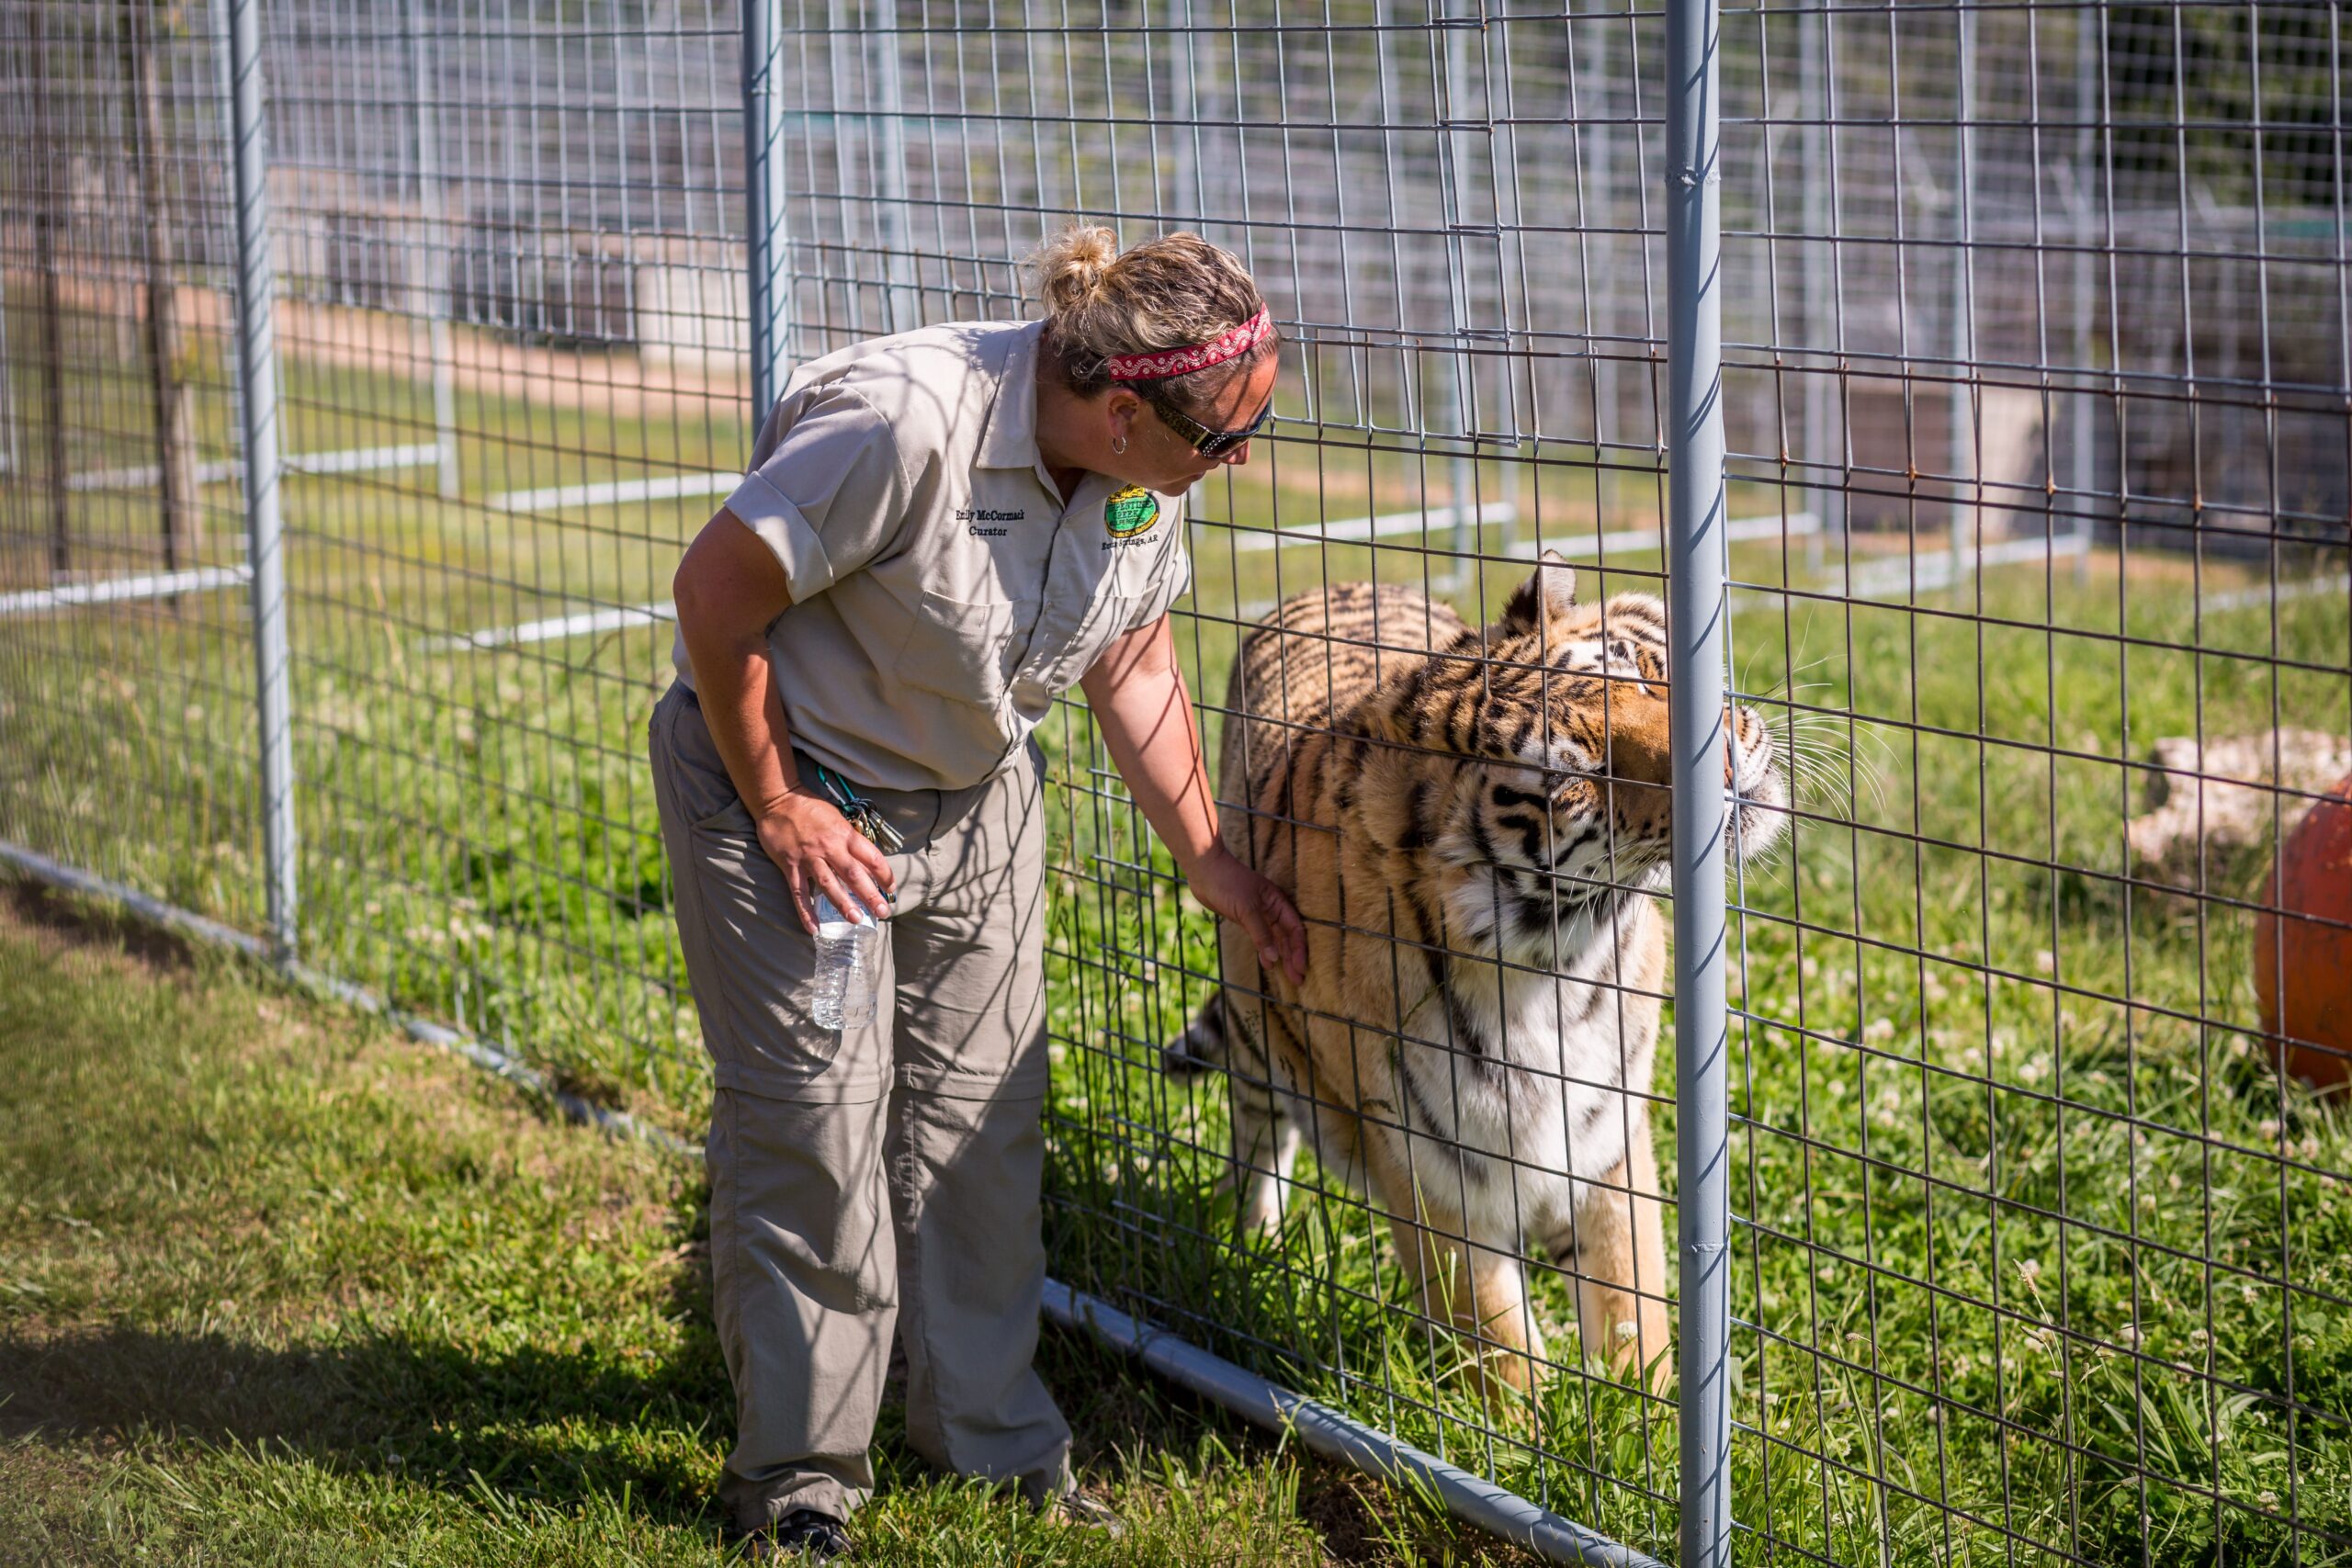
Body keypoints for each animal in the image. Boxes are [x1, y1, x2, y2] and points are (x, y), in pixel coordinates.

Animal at [1166, 552, 1787, 1401]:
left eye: (1643, 673)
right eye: (1576, 781)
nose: (1723, 762)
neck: (1554, 967)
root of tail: (1336, 583)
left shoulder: (1606, 1138)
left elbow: (1632, 1303)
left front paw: (1650, 1409)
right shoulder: (1427, 1163)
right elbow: (1495, 1338)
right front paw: (1529, 1428)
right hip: (1257, 1013)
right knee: (1257, 1128)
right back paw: (1256, 1234)